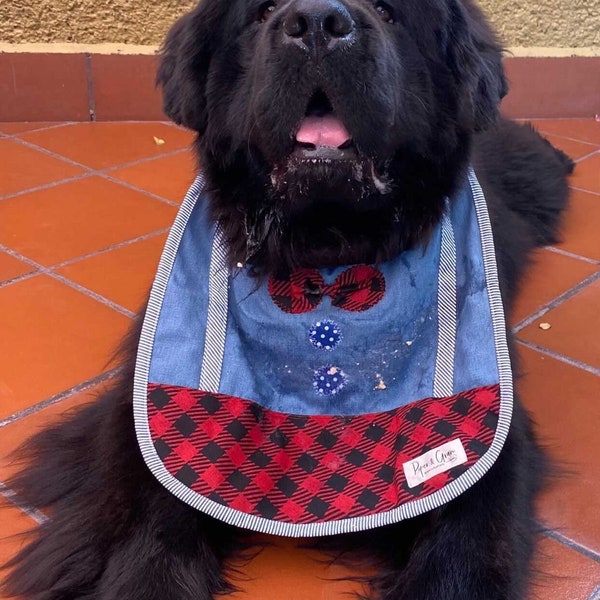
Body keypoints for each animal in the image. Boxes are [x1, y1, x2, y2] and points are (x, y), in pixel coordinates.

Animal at [1, 1, 572, 600]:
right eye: (263, 12)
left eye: (390, 11)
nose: (318, 22)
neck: (324, 253)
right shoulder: (140, 413)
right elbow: (149, 512)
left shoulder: (492, 436)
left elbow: (467, 544)